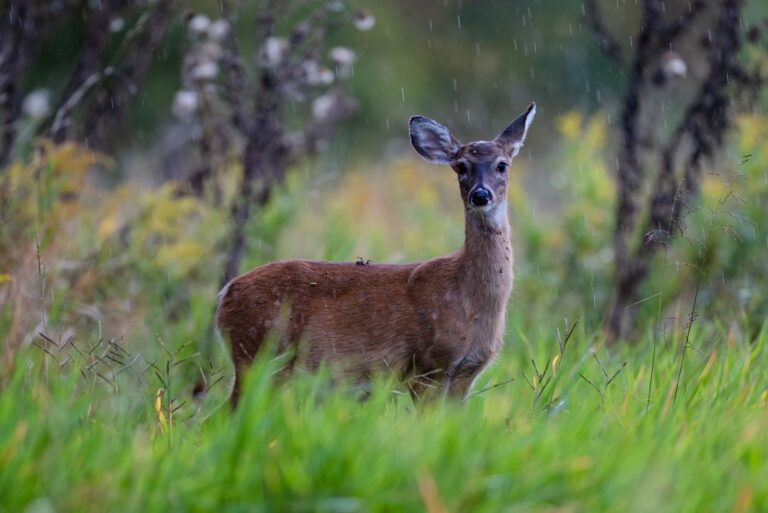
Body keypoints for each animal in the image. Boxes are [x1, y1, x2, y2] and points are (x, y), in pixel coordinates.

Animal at [216, 102, 536, 407]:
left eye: (502, 165)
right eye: (460, 166)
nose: (480, 195)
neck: (469, 297)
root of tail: (224, 296)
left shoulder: (465, 373)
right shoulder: (425, 365)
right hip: (259, 353)